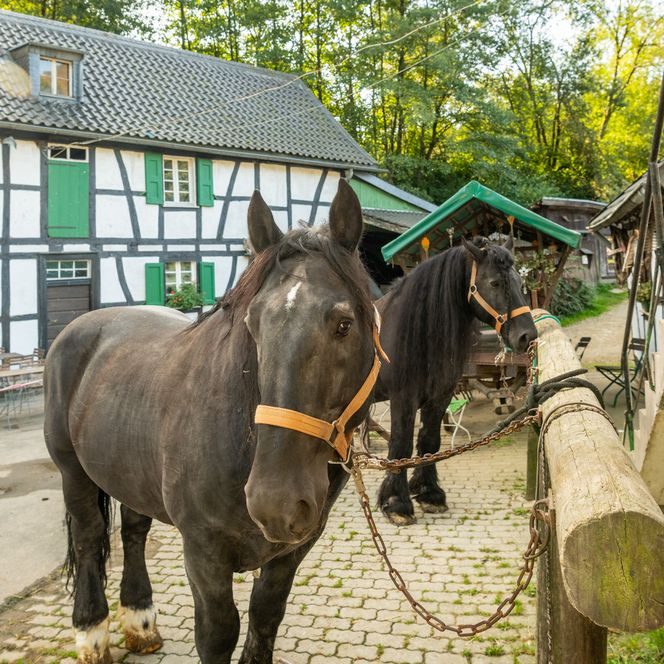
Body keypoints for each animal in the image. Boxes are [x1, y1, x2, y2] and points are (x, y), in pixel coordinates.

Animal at [44, 180, 379, 664]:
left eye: (344, 324)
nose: (275, 502)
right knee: (89, 540)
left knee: (134, 533)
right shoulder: (203, 552)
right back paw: (91, 633)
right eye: (253, 324)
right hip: (73, 472)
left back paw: (140, 621)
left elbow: (265, 616)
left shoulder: (293, 550)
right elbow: (218, 634)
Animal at [373, 236, 538, 525]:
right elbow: (401, 445)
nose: (527, 335)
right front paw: (396, 504)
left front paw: (429, 494)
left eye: (519, 282)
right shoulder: (403, 398)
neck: (417, 329)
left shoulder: (440, 396)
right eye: (494, 283)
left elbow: (429, 441)